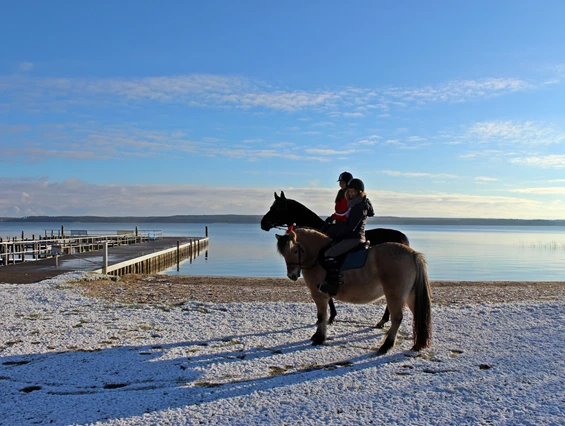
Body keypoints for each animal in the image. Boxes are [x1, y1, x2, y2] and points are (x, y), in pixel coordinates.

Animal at [276, 228, 430, 354]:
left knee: (397, 318)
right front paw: (317, 335)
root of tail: (412, 254)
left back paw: (386, 346)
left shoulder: (319, 295)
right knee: (417, 314)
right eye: (283, 254)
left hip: (395, 295)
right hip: (409, 295)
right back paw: (417, 344)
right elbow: (322, 316)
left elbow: (321, 316)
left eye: (294, 251)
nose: (292, 275)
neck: (317, 258)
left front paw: (319, 338)